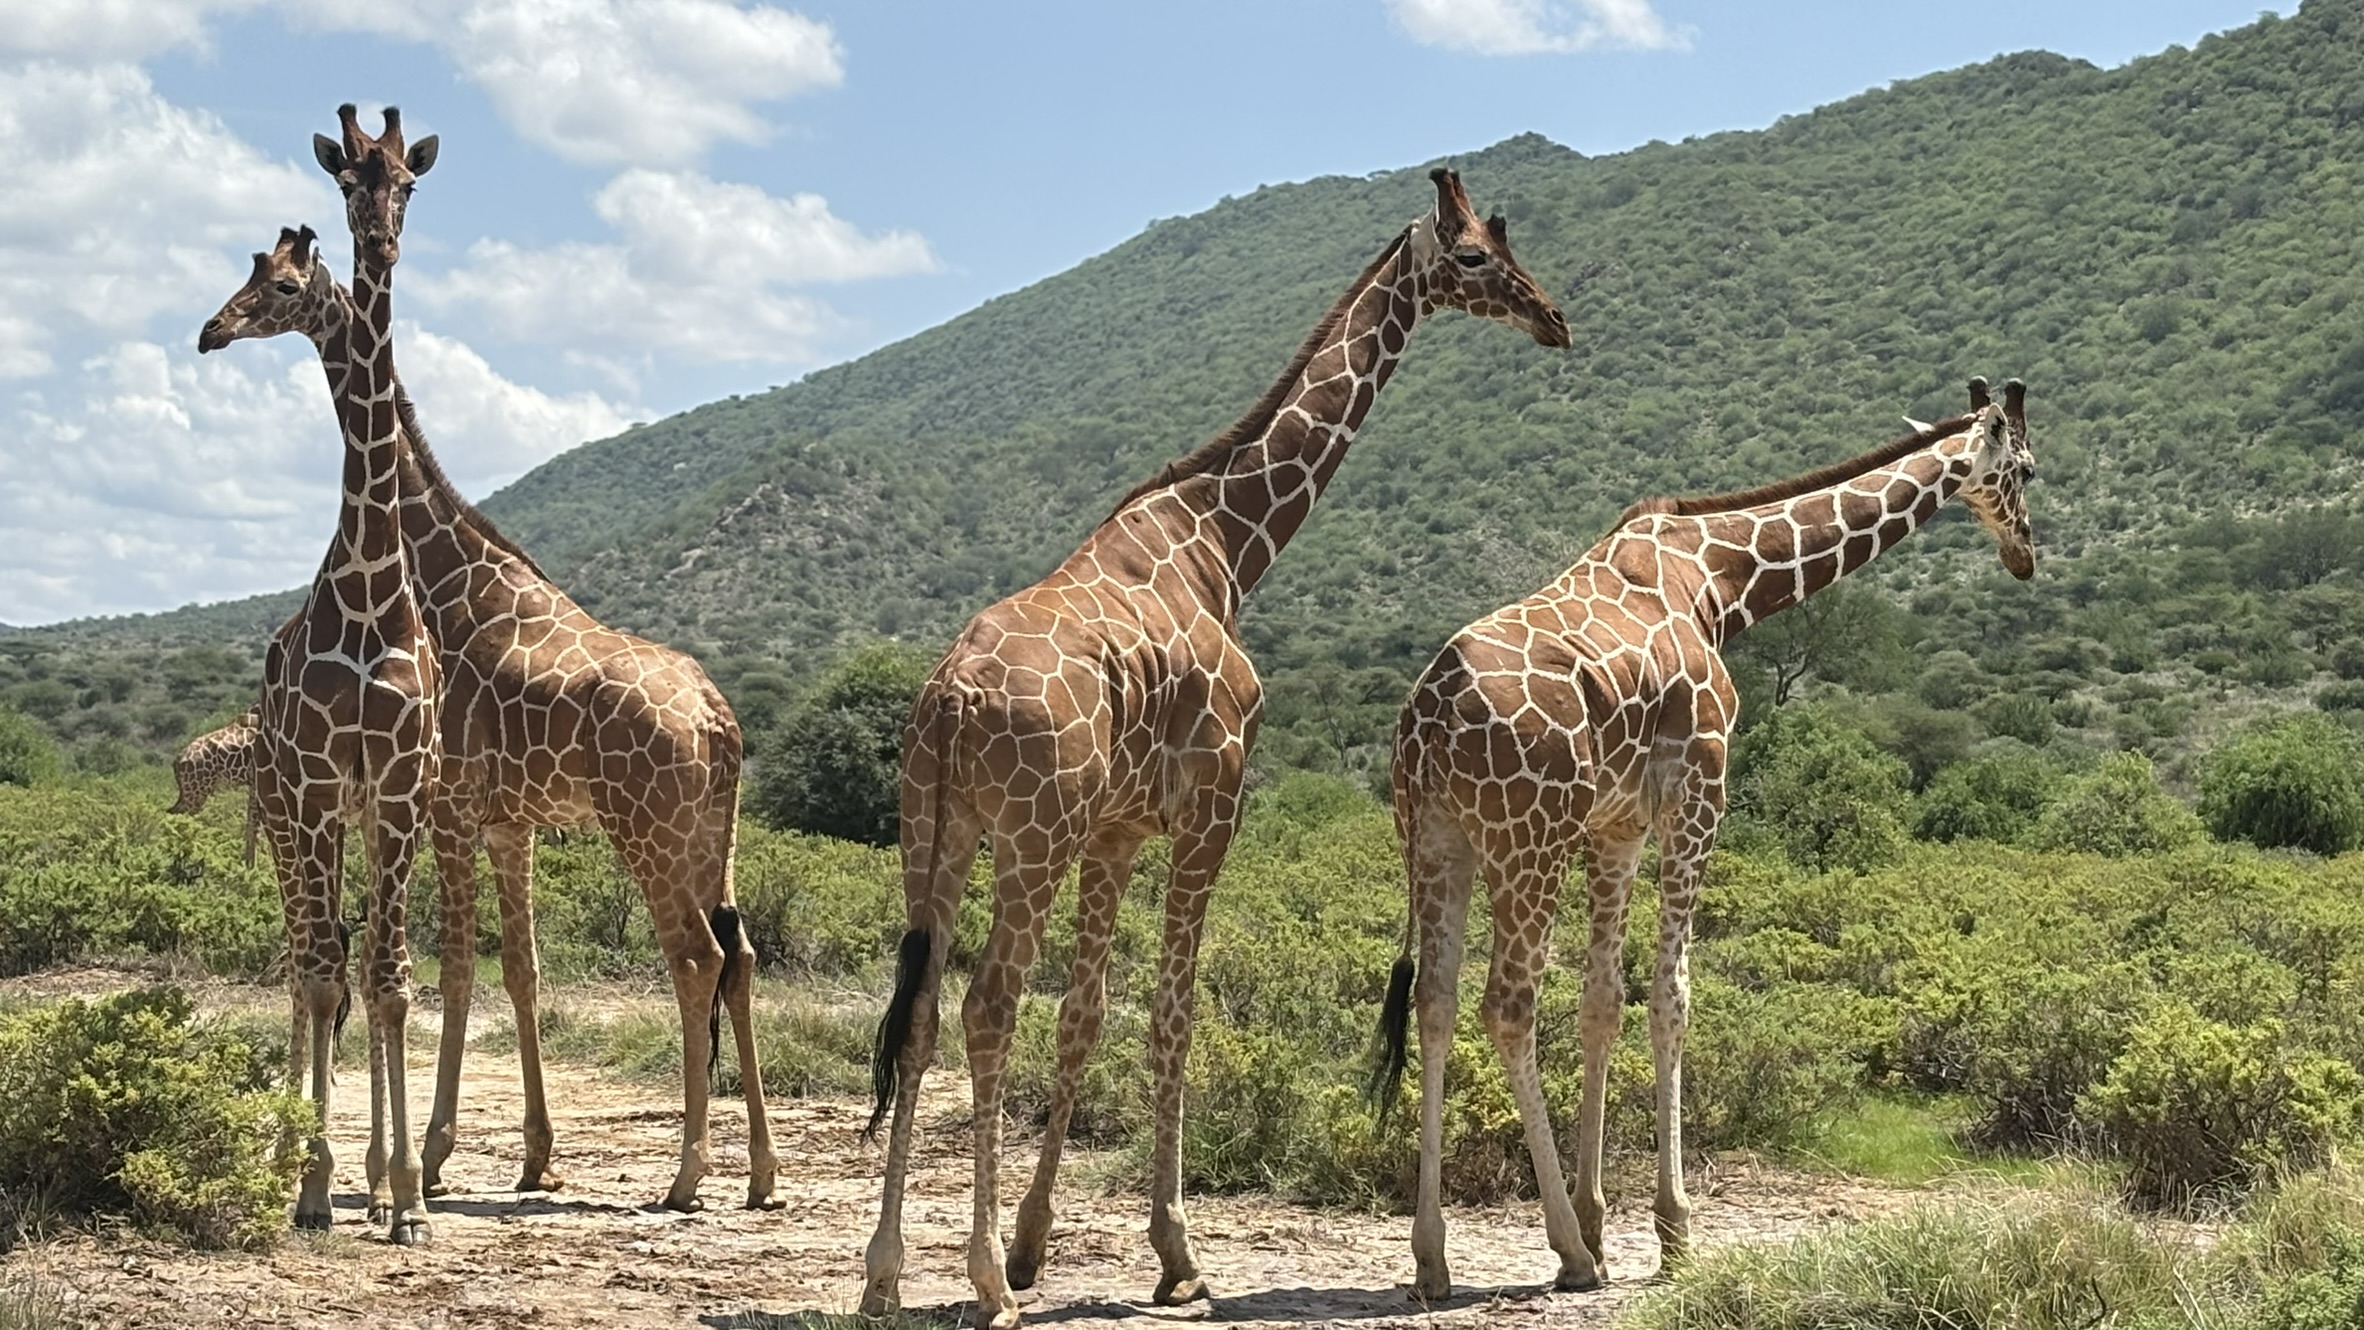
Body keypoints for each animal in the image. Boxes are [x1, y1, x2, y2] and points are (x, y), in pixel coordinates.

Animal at [198, 226, 776, 1211]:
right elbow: (520, 971)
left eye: (279, 288)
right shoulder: (511, 825)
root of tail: (716, 719)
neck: (447, 577)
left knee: (695, 957)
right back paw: (763, 1174)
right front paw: (530, 1156)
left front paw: (426, 1160)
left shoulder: (449, 810)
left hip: (648, 828)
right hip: (713, 830)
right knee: (738, 958)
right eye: (247, 274)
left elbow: (457, 970)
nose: (213, 331)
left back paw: (688, 1172)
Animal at [860, 168, 1571, 1329]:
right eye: (1472, 255)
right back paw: (976, 1282)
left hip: (937, 829)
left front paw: (1037, 1243)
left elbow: (1088, 1015)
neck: (1225, 546)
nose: (1554, 318)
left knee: (918, 1010)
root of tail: (950, 701)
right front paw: (1174, 1255)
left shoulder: (1115, 831)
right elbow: (1175, 1012)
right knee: (986, 1007)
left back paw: (883, 1270)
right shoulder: (1212, 807)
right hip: (1029, 837)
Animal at [1372, 379, 2036, 1297]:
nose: (2026, 554)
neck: (1721, 581)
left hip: (1440, 840)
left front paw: (1602, 1217)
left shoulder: (1615, 825)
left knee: (1434, 1001)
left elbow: (1603, 1001)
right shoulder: (1699, 791)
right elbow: (1673, 995)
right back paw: (1566, 1255)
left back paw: (1434, 1257)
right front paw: (1668, 1229)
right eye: (2028, 470)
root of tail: (1424, 724)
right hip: (1528, 838)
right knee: (1505, 1006)